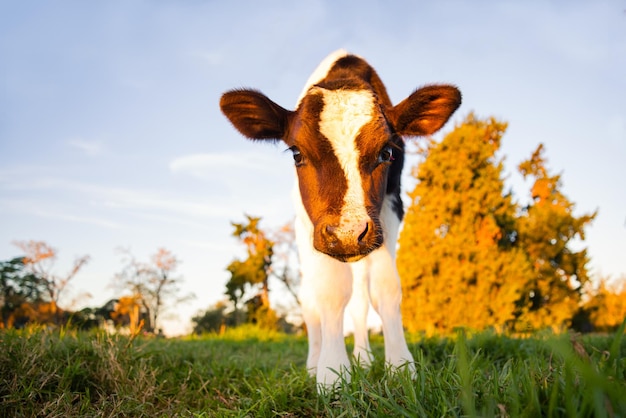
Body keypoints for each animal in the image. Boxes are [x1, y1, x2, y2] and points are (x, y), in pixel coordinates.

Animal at [219, 49, 458, 388]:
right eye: (297, 153)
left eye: (387, 153)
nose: (347, 234)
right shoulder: (313, 225)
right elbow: (330, 291)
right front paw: (331, 372)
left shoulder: (390, 210)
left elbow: (385, 289)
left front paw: (399, 366)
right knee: (310, 300)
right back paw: (314, 363)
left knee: (359, 299)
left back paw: (363, 358)